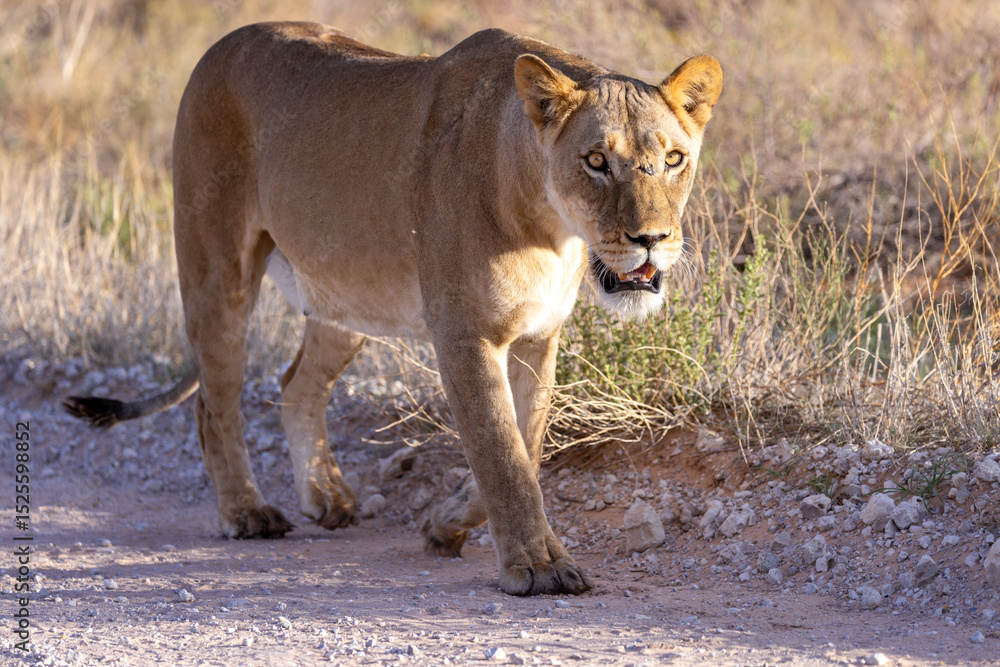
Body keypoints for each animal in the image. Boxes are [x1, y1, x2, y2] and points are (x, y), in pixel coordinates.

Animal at [64, 22, 722, 596]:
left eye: (673, 159)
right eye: (595, 161)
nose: (652, 239)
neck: (551, 227)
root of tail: (221, 43)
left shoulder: (539, 337)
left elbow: (527, 444)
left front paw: (444, 525)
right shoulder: (464, 333)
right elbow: (502, 454)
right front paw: (538, 569)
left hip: (344, 296)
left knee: (295, 384)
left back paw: (327, 497)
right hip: (216, 267)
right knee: (213, 399)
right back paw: (247, 512)